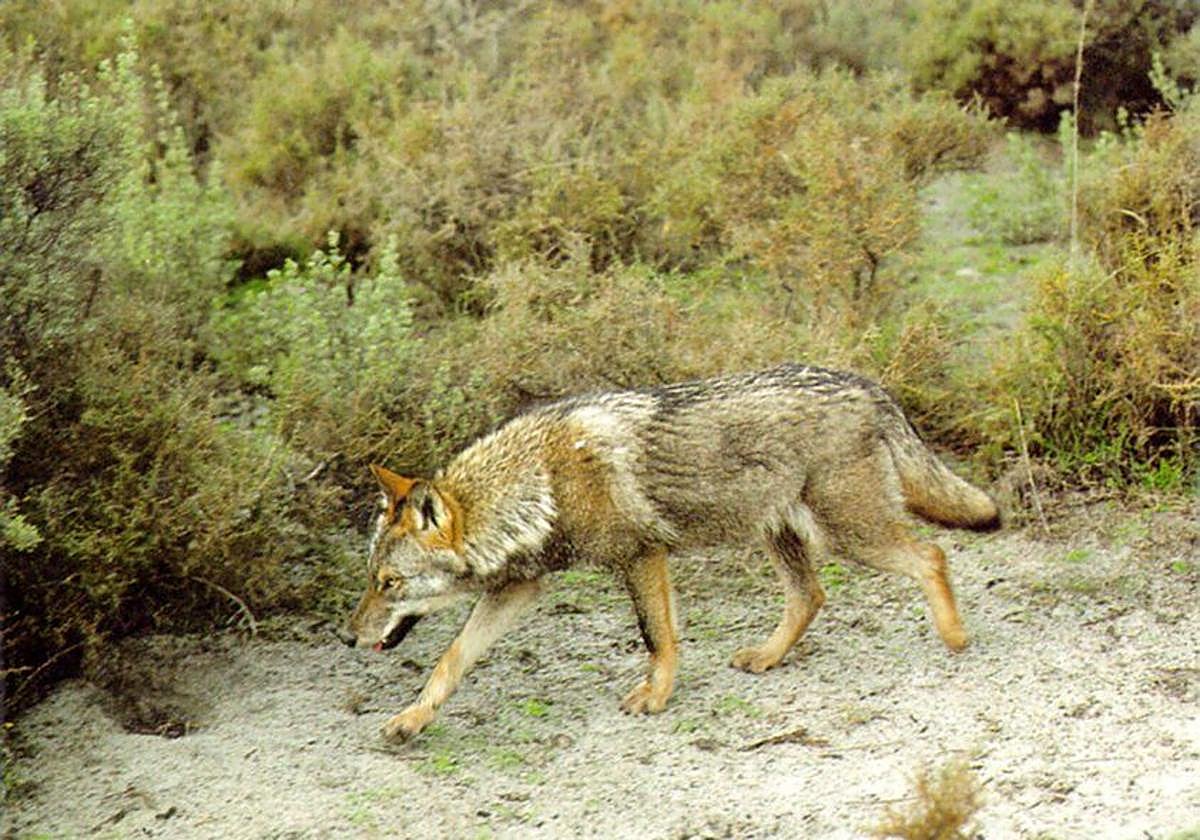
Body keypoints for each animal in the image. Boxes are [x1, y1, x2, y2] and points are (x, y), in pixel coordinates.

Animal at [339, 364, 1000, 742]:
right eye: (371, 578)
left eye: (389, 583)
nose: (347, 637)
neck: (539, 483)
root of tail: (868, 385)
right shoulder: (520, 588)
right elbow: (451, 660)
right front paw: (411, 719)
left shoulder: (640, 557)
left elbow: (658, 637)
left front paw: (655, 697)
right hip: (780, 535)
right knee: (812, 596)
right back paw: (767, 657)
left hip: (850, 535)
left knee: (932, 556)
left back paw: (956, 637)